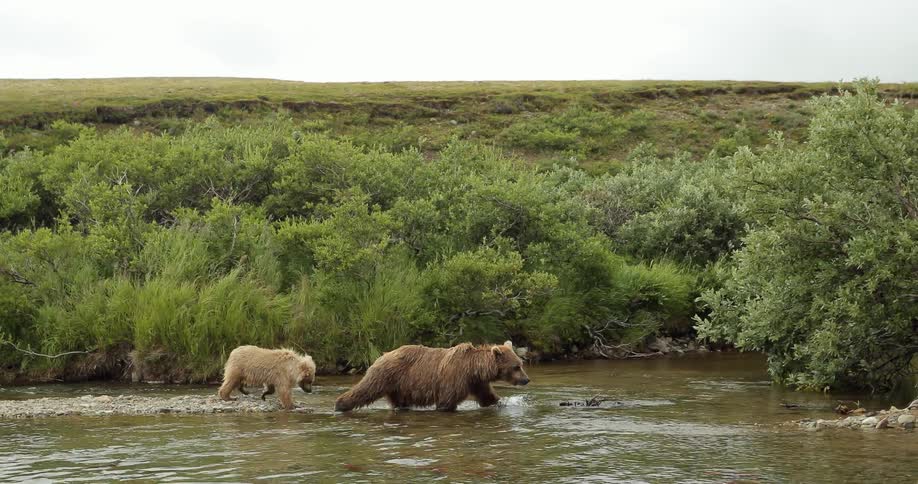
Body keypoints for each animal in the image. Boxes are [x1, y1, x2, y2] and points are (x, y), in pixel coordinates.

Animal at [334, 340, 529, 412]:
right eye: (516, 366)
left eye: (521, 364)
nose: (527, 379)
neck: (473, 368)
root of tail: (382, 354)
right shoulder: (455, 378)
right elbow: (446, 402)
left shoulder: (476, 382)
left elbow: (487, 397)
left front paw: (502, 402)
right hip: (386, 374)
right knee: (366, 389)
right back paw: (340, 405)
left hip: (399, 386)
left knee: (400, 402)